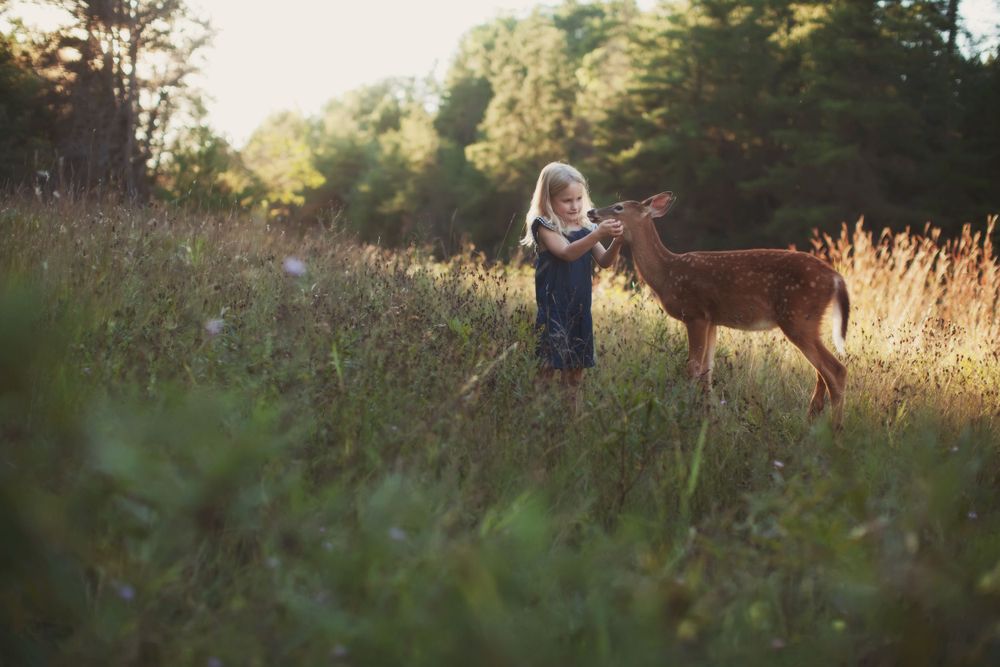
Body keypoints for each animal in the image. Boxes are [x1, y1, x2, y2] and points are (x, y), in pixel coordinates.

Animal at [588, 192, 849, 426]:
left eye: (619, 207)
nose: (591, 212)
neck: (667, 274)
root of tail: (835, 278)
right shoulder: (712, 320)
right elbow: (707, 371)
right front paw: (709, 416)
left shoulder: (695, 313)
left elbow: (693, 367)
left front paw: (688, 413)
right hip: (809, 320)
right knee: (823, 371)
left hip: (797, 317)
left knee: (836, 370)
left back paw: (834, 431)